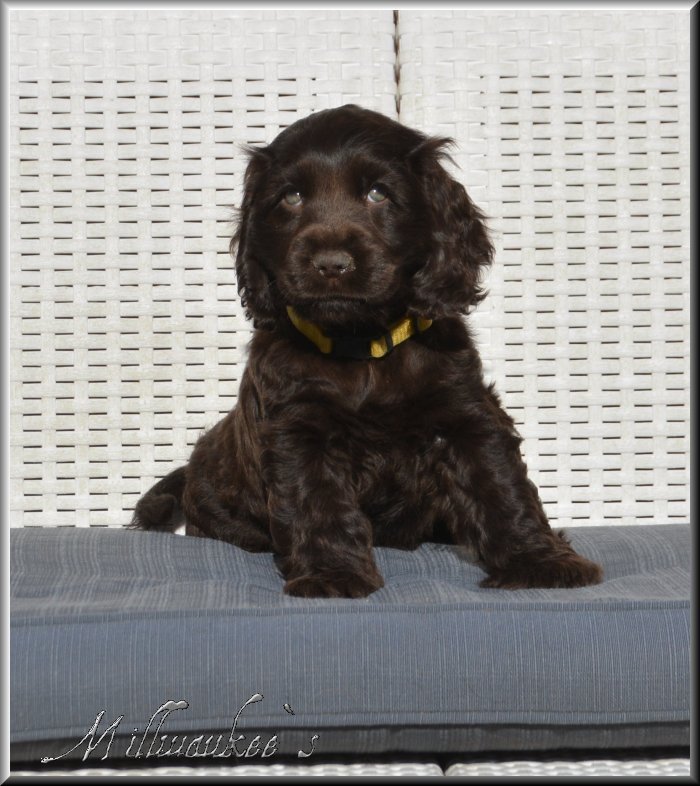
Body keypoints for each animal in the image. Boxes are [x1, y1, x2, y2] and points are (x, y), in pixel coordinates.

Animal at [130, 104, 603, 597]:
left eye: (378, 193)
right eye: (291, 197)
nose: (331, 265)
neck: (364, 347)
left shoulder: (466, 413)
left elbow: (501, 485)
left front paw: (539, 561)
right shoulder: (298, 430)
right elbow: (317, 502)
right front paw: (332, 574)